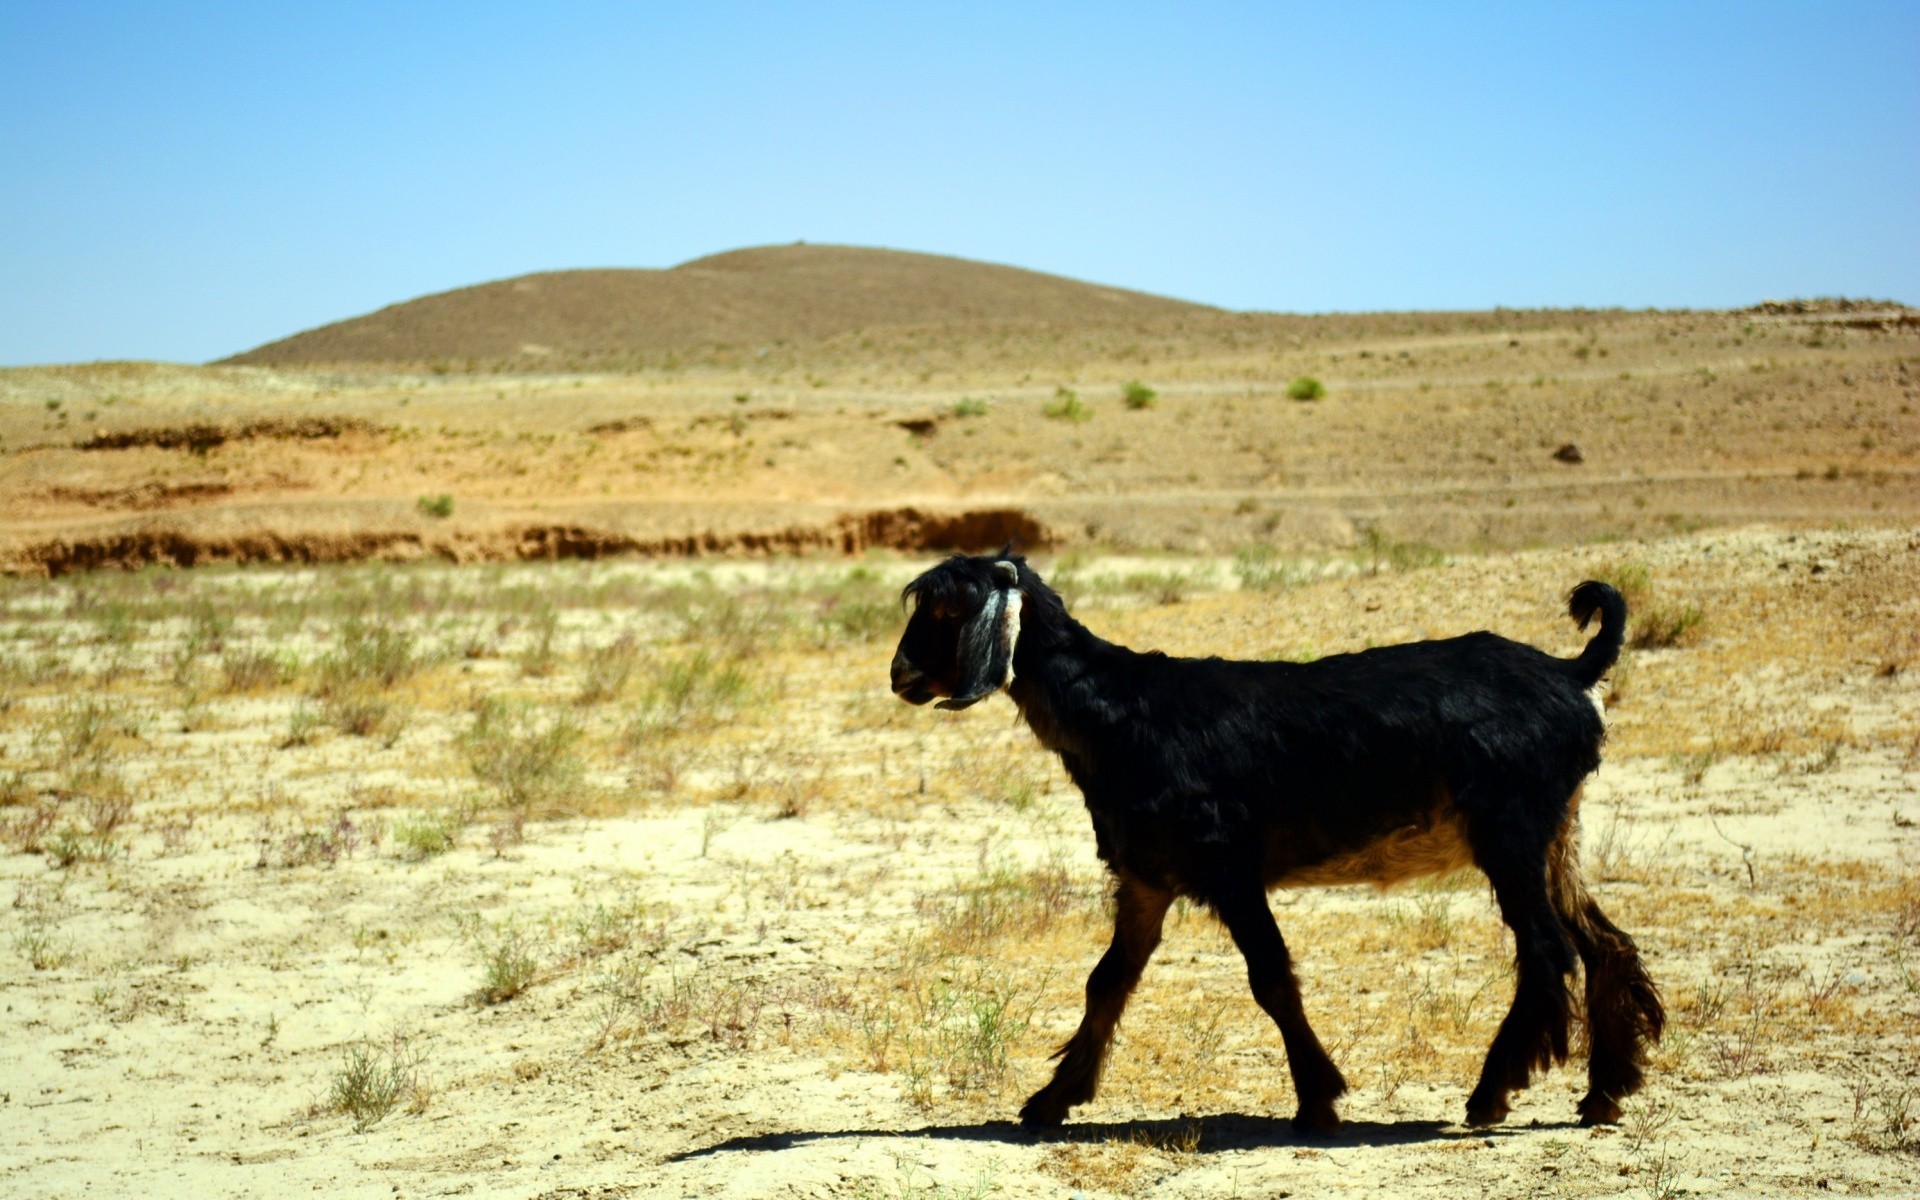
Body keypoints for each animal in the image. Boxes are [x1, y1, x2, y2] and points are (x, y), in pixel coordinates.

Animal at [890, 552, 1658, 1128]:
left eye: (946, 609)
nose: (900, 675)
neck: (1122, 711)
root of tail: (1570, 673)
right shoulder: (1147, 877)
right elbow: (1107, 981)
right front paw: (1053, 1099)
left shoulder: (1228, 867)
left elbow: (1271, 977)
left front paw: (1318, 1100)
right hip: (1556, 832)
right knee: (1606, 942)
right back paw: (1602, 1095)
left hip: (1510, 829)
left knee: (1548, 950)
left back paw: (1492, 1093)